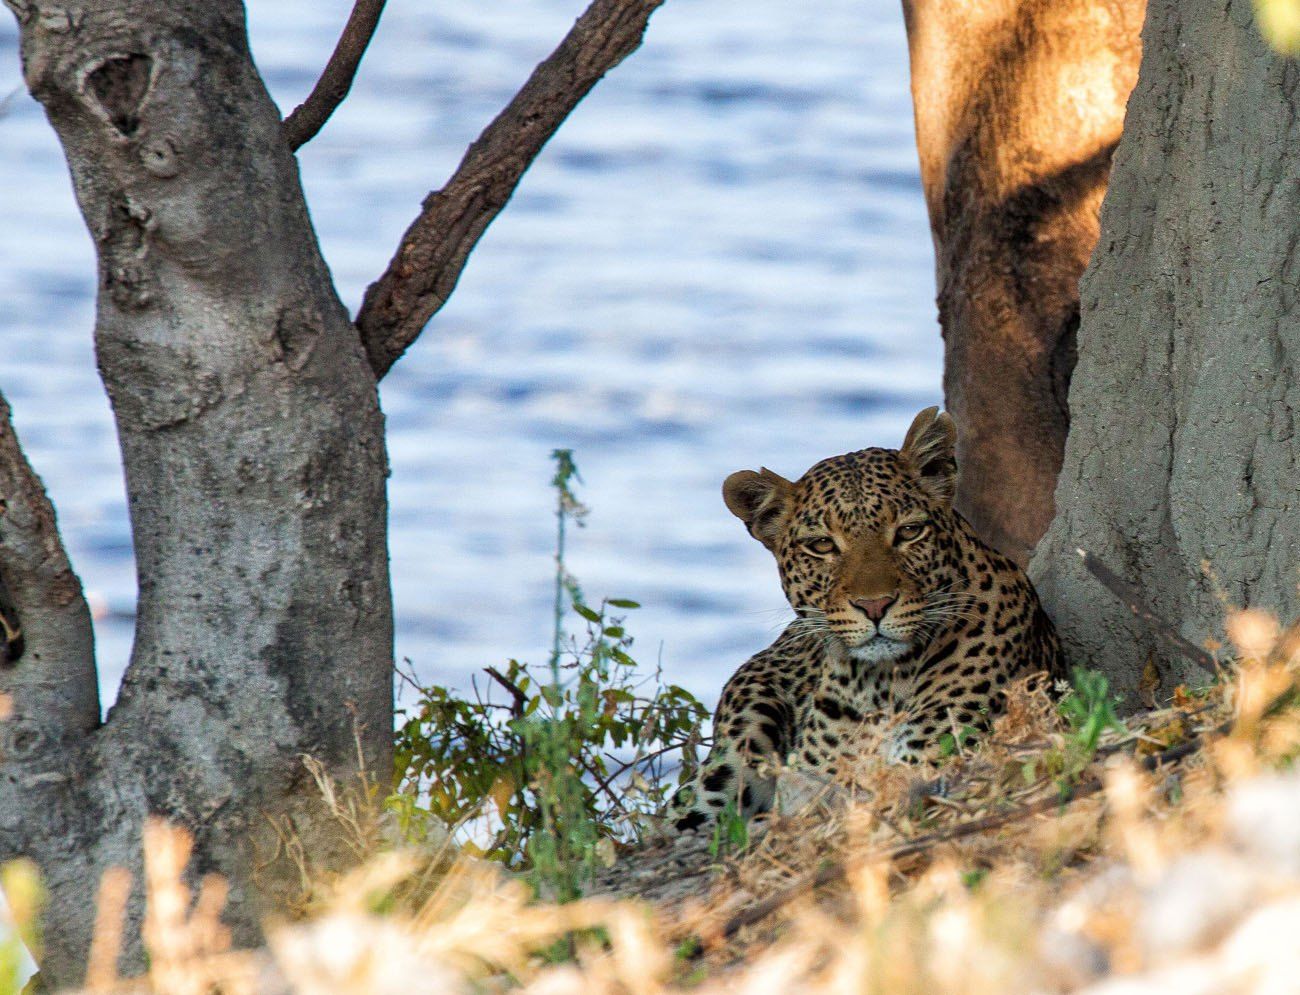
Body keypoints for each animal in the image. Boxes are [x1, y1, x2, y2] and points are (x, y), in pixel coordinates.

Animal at [676, 403, 1060, 832]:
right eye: (822, 545)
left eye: (909, 531)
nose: (875, 606)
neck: (876, 685)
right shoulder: (812, 788)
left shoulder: (921, 762)